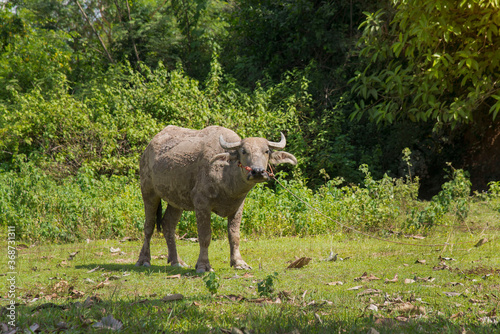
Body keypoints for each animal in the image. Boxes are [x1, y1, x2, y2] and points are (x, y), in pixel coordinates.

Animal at [136, 124, 296, 272]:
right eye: (243, 151)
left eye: (266, 151)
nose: (257, 171)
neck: (227, 176)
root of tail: (148, 149)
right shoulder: (201, 203)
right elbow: (205, 236)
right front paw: (203, 265)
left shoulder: (238, 206)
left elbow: (234, 235)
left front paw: (239, 263)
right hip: (148, 191)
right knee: (149, 226)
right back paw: (144, 260)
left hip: (176, 200)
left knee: (168, 224)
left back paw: (177, 261)